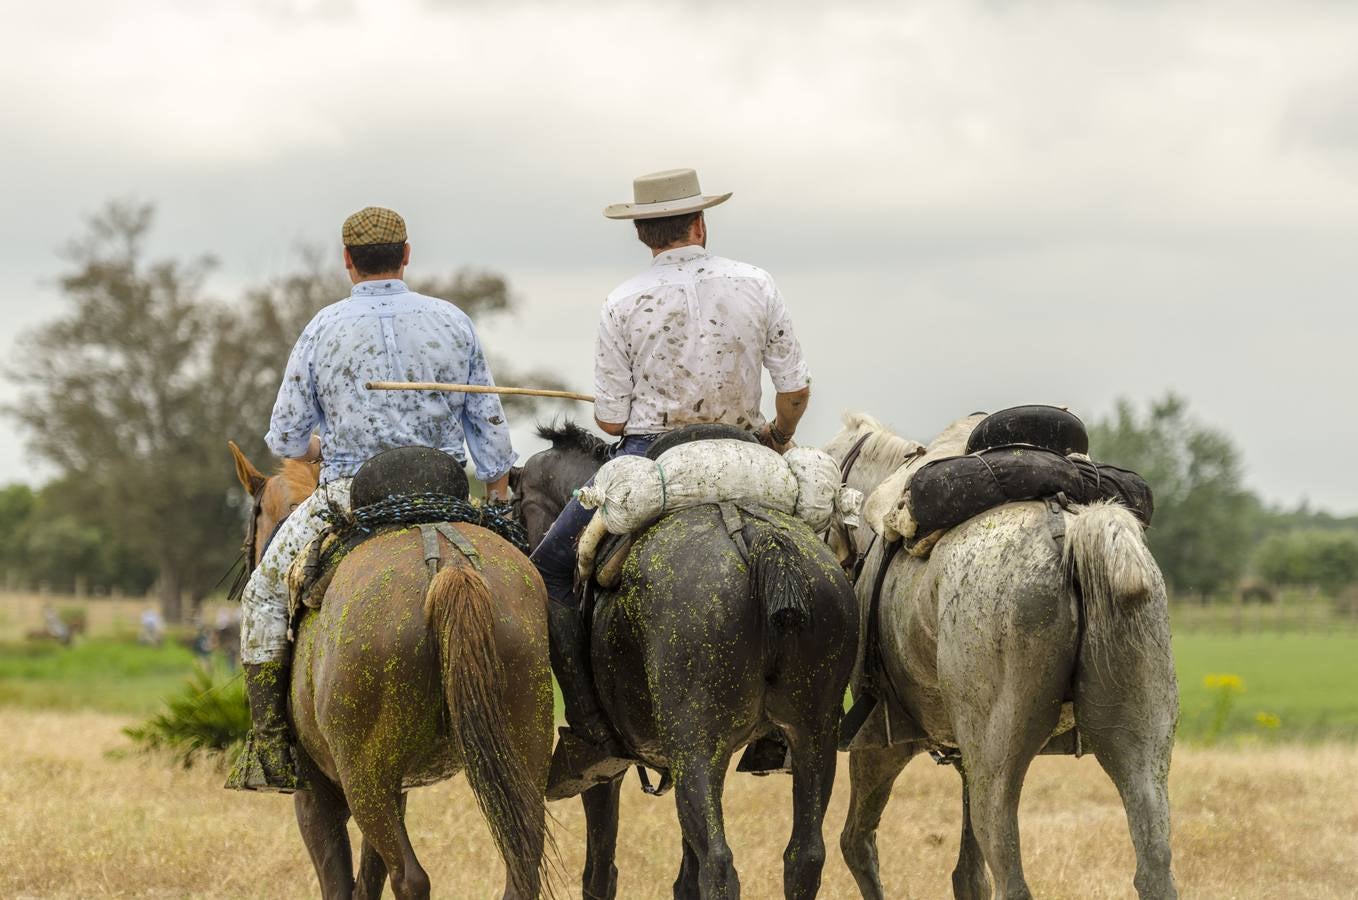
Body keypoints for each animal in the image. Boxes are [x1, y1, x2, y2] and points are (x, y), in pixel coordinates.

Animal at [230, 445, 554, 900]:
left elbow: (341, 882)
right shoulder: (395, 790)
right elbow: (368, 878)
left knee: (411, 878)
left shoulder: (316, 798)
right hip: (523, 748)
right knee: (521, 866)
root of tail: (450, 567)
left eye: (255, 515)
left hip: (365, 782)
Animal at [513, 423, 852, 900]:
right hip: (813, 736)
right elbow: (685, 876)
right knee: (804, 857)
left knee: (720, 863)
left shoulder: (605, 771)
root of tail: (754, 538)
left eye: (520, 503)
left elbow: (600, 872)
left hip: (696, 749)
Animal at [820, 415, 1173, 900]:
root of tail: (1073, 532)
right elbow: (969, 875)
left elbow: (857, 842)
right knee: (1154, 866)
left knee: (1011, 875)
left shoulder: (886, 740)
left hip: (996, 766)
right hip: (1141, 753)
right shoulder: (963, 755)